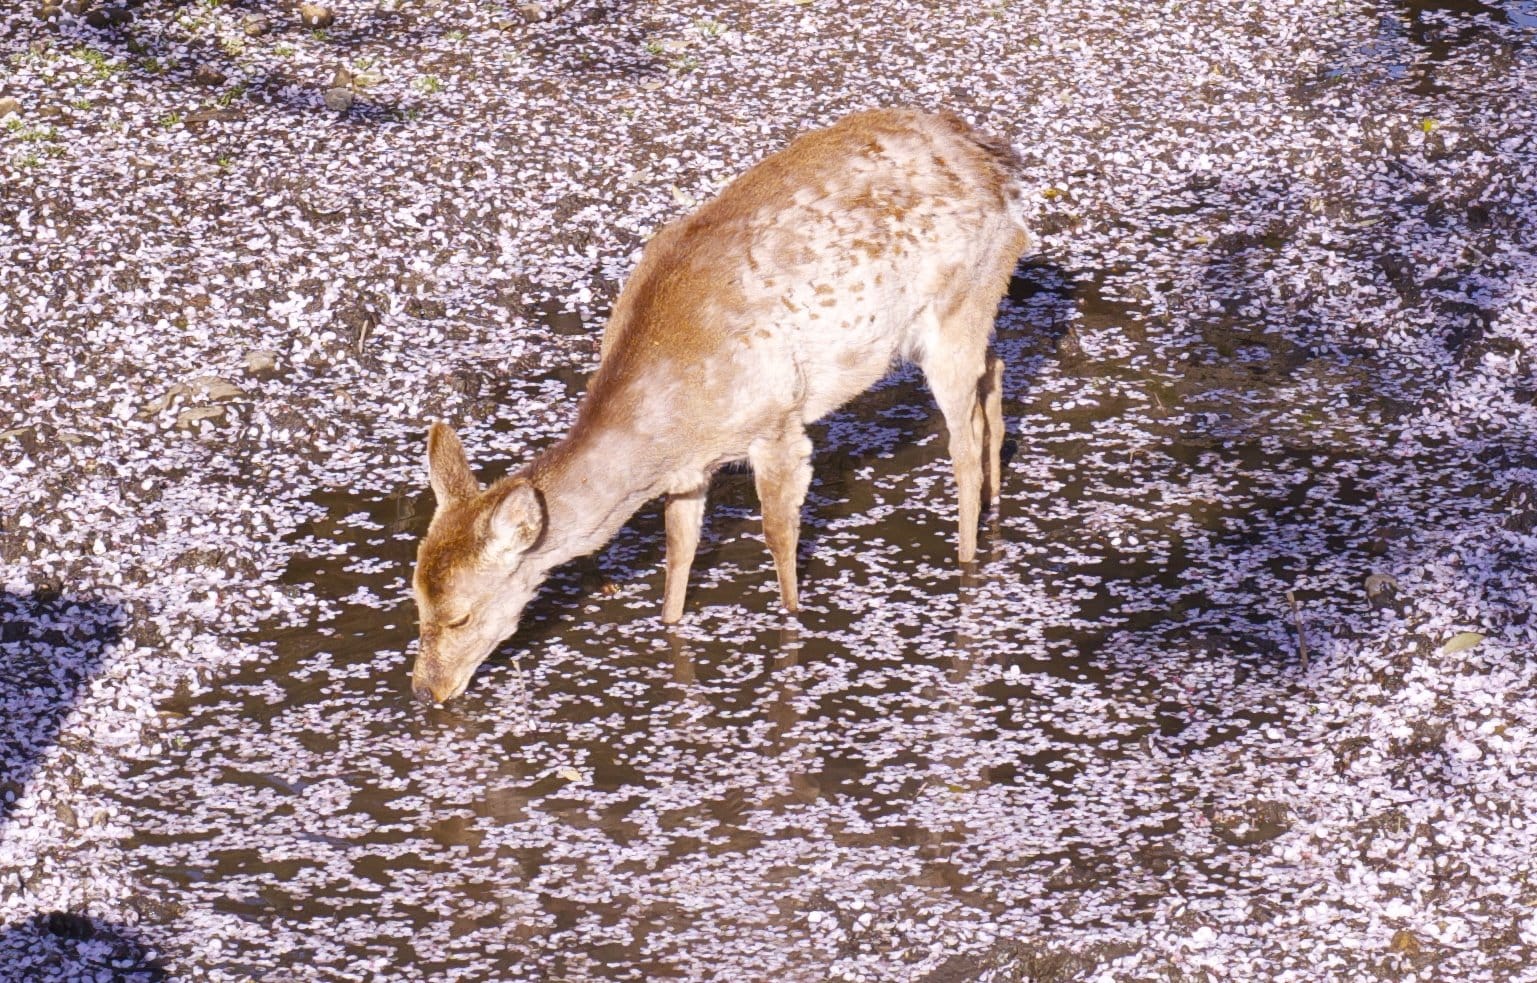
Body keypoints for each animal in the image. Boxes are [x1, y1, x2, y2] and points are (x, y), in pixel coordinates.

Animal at [411, 108, 1031, 703]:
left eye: (460, 615)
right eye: (415, 600)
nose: (424, 690)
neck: (672, 420)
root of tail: (1000, 169)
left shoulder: (777, 423)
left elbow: (778, 535)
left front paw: (792, 620)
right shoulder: (689, 470)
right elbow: (679, 549)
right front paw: (670, 626)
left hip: (956, 303)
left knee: (962, 443)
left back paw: (968, 558)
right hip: (975, 307)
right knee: (996, 371)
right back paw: (995, 502)